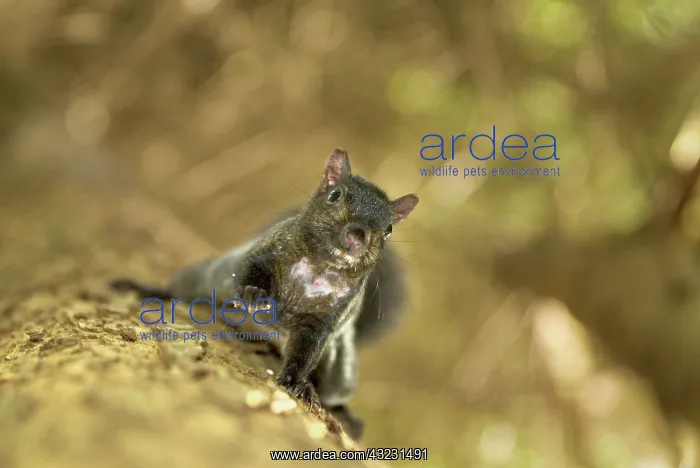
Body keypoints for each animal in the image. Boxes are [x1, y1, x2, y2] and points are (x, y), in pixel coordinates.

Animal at [110, 148, 419, 439]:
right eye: (335, 195)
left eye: (389, 229)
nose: (357, 236)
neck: (321, 267)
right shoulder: (264, 253)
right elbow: (252, 272)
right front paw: (254, 293)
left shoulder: (324, 319)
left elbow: (305, 352)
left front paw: (296, 383)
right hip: (202, 277)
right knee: (179, 288)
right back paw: (148, 290)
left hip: (340, 372)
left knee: (332, 389)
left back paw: (343, 412)